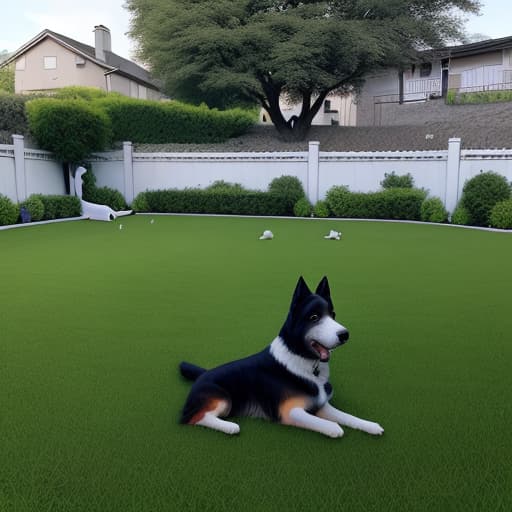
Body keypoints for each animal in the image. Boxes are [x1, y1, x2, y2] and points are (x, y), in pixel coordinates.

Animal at [178, 278, 382, 438]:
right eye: (314, 317)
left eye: (333, 315)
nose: (345, 335)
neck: (302, 358)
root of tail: (202, 375)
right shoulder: (291, 411)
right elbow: (333, 425)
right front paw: (335, 429)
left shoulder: (321, 405)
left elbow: (348, 417)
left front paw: (371, 425)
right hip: (223, 399)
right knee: (192, 418)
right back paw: (230, 426)